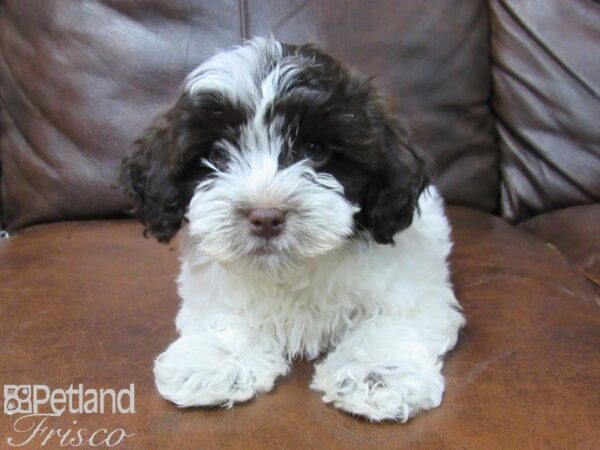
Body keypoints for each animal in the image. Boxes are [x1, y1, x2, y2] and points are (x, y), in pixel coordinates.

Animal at [120, 36, 464, 422]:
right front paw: (216, 360)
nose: (265, 216)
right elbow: (225, 317)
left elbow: (392, 321)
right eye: (219, 155)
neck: (293, 267)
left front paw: (374, 374)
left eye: (315, 150)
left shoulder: (415, 287)